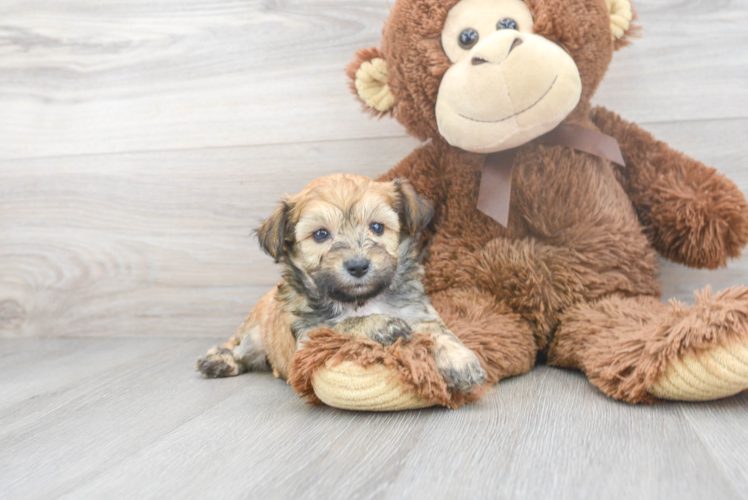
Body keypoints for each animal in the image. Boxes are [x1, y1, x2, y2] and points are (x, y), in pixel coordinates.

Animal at [196, 174, 488, 392]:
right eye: (320, 234)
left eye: (377, 227)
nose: (358, 266)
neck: (361, 300)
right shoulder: (309, 339)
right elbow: (341, 325)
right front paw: (381, 324)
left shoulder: (418, 311)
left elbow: (439, 332)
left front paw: (461, 362)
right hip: (253, 333)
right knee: (236, 346)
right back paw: (218, 361)